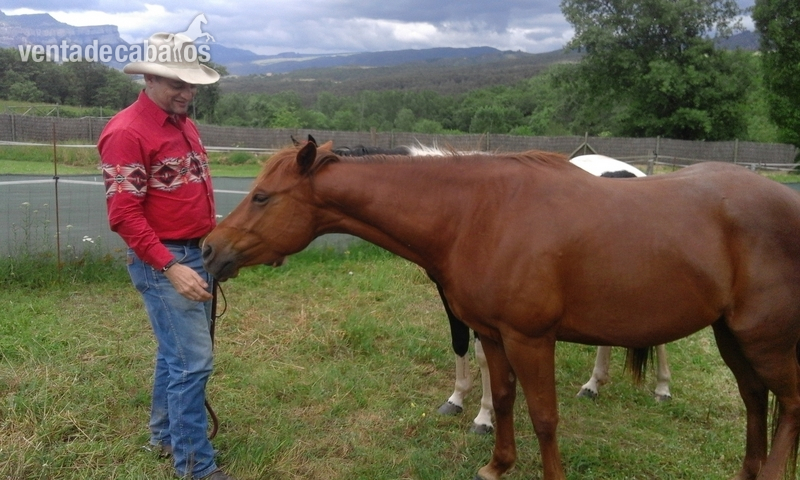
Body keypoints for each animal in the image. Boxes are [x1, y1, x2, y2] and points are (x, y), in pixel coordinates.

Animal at [203, 143, 800, 480]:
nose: (209, 249)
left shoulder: (530, 339)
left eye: (262, 197)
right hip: (733, 337)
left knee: (788, 404)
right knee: (754, 401)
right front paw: (496, 462)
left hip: (765, 339)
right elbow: (507, 400)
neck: (477, 213)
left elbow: (544, 416)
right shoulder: (493, 335)